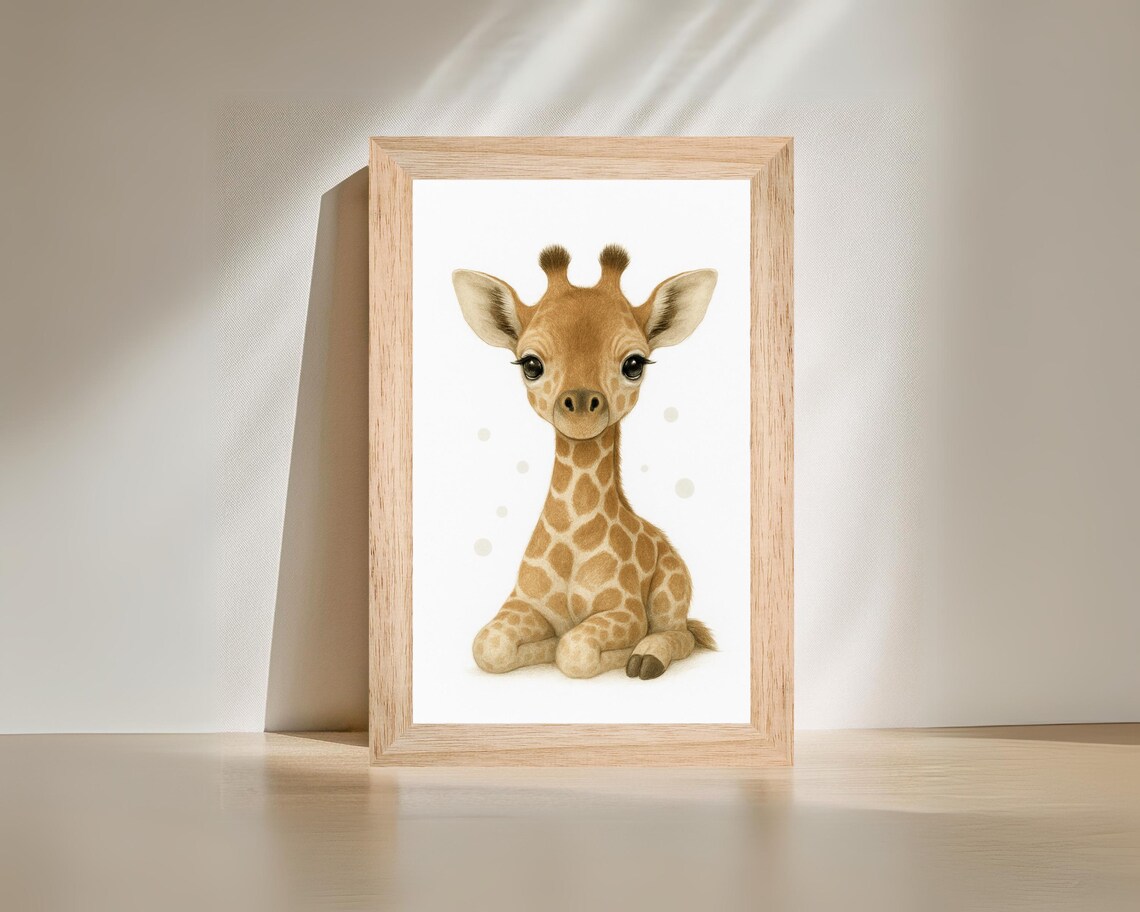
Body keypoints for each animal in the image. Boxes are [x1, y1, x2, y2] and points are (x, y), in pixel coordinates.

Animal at [452, 244, 718, 680]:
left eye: (634, 364)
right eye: (530, 364)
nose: (579, 405)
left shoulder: (626, 611)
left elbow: (574, 652)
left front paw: (622, 654)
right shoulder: (522, 602)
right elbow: (488, 646)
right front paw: (539, 647)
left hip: (672, 591)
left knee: (685, 633)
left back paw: (647, 657)